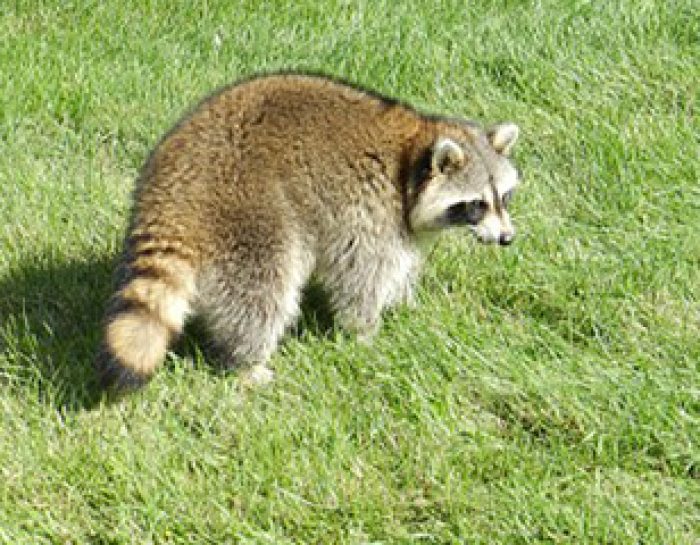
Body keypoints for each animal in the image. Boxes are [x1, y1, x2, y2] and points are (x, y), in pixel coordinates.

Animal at [96, 72, 521, 391]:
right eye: (476, 204)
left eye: (504, 197)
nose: (507, 239)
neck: (410, 155)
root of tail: (172, 192)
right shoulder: (368, 210)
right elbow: (363, 274)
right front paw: (366, 331)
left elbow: (402, 261)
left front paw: (403, 300)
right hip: (249, 215)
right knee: (263, 291)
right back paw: (248, 361)